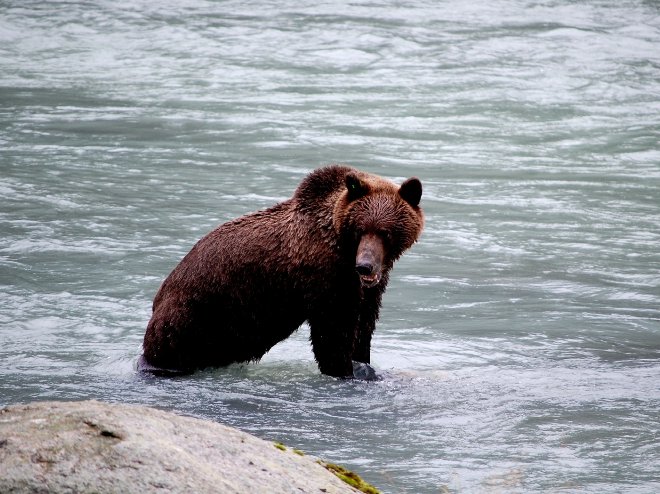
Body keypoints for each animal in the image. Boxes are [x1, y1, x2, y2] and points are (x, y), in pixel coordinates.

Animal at [142, 166, 426, 378]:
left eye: (385, 232)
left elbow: (364, 325)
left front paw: (365, 366)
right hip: (196, 314)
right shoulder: (326, 276)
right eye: (359, 229)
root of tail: (159, 297)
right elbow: (333, 332)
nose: (365, 265)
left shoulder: (367, 287)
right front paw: (345, 372)